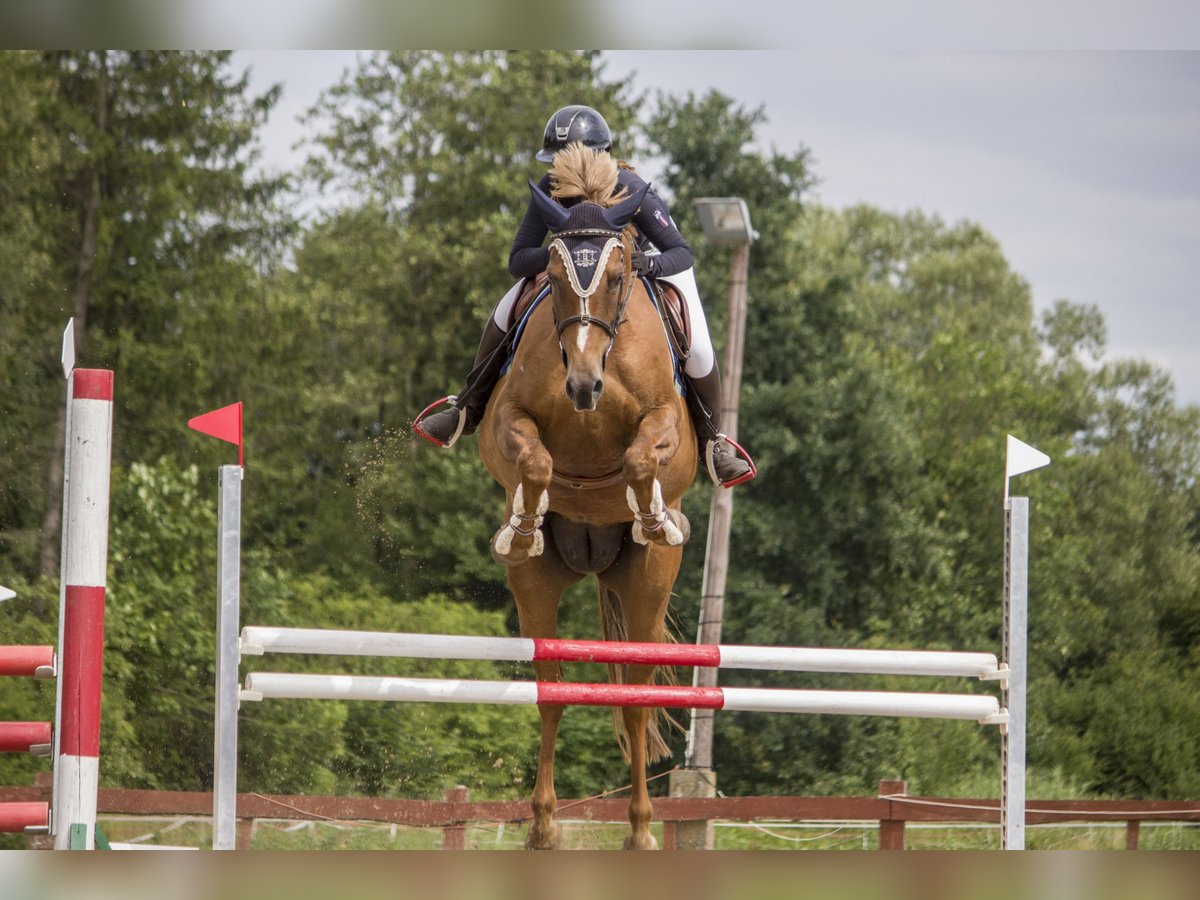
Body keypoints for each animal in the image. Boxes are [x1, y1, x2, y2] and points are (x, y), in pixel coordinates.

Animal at [477, 150, 700, 854]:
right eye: (550, 273)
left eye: (621, 273)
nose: (582, 384)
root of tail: (595, 558)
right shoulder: (509, 420)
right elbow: (535, 459)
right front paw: (523, 521)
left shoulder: (664, 421)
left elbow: (641, 456)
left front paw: (652, 512)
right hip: (538, 588)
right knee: (551, 691)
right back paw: (544, 825)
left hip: (647, 585)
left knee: (635, 697)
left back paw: (642, 831)